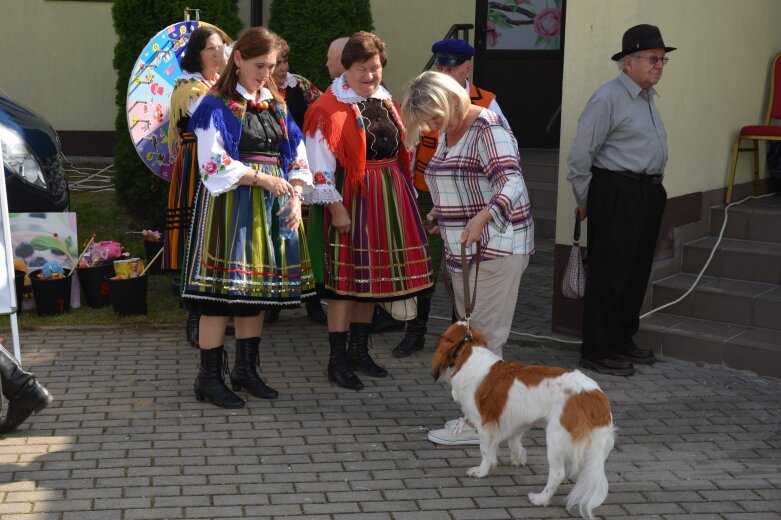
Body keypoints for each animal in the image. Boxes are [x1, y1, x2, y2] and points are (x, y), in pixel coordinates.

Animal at [430, 322, 612, 516]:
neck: (469, 352)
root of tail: (594, 395)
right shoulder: (515, 419)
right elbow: (514, 441)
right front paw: (518, 458)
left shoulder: (483, 424)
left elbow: (485, 451)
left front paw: (481, 471)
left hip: (555, 438)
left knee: (557, 474)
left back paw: (540, 499)